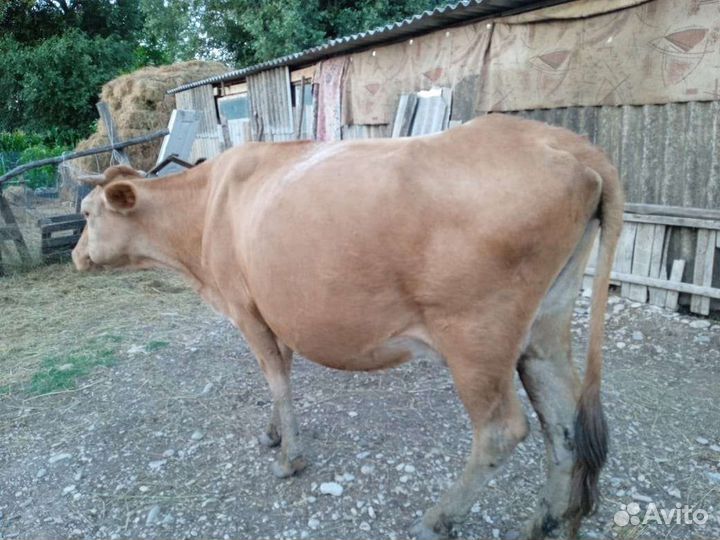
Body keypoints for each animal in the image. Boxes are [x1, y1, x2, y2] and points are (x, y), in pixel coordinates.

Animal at [72, 114, 623, 540]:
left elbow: (276, 380)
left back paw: (437, 519)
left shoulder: (246, 308)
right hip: (545, 327)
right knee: (565, 424)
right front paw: (274, 434)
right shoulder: (276, 310)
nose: (76, 256)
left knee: (502, 431)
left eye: (87, 213)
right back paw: (544, 521)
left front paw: (290, 458)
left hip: (476, 338)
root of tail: (563, 140)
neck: (205, 210)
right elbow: (280, 379)